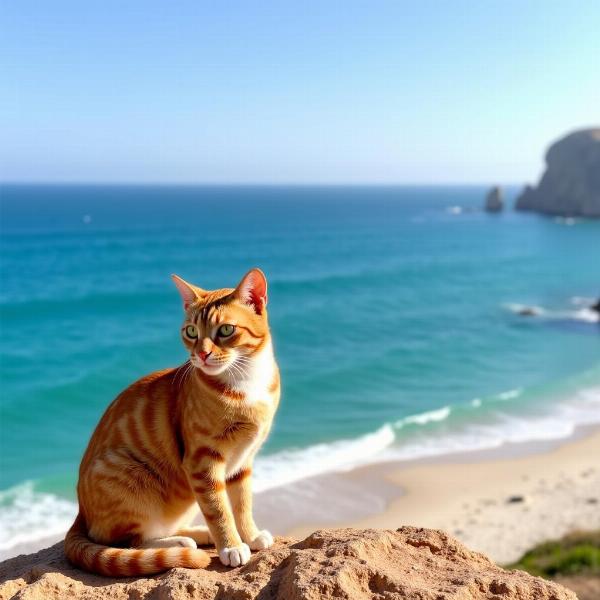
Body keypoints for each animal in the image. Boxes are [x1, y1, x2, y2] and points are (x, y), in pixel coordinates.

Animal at [64, 270, 280, 576]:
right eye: (191, 332)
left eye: (226, 330)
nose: (201, 354)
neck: (245, 382)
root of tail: (80, 513)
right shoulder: (202, 463)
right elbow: (219, 510)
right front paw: (231, 546)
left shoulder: (243, 462)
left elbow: (241, 504)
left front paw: (249, 536)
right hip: (128, 476)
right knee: (128, 542)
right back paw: (181, 543)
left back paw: (198, 534)